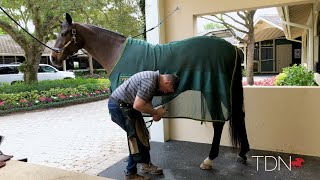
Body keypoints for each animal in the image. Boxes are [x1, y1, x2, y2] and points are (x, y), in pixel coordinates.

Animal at [50, 13, 250, 169]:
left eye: (64, 33)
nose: (53, 58)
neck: (116, 52)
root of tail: (232, 48)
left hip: (213, 90)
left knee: (219, 122)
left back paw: (209, 160)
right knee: (239, 116)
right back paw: (243, 153)